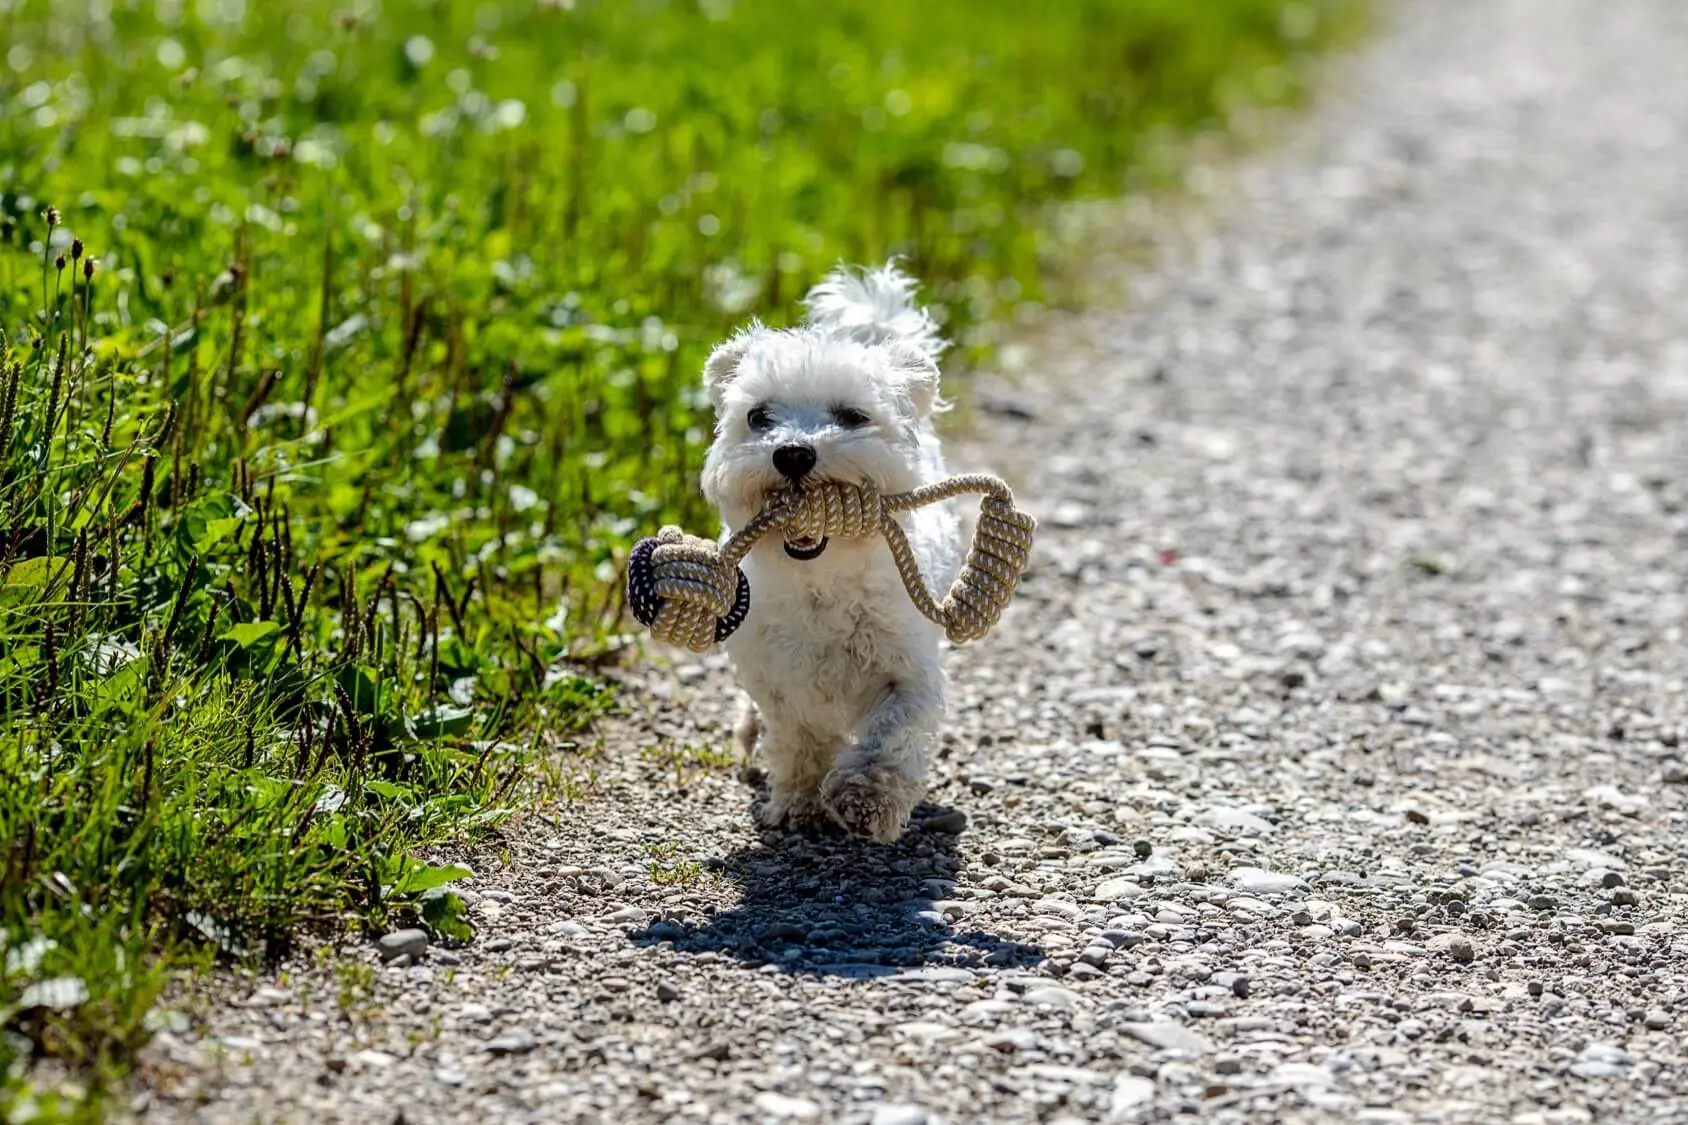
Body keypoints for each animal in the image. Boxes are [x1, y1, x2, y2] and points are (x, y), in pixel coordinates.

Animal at [698, 260, 965, 841]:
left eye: (852, 416)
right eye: (759, 417)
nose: (793, 453)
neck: (820, 579)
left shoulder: (907, 670)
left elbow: (891, 735)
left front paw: (867, 799)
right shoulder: (778, 678)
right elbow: (798, 738)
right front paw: (801, 802)